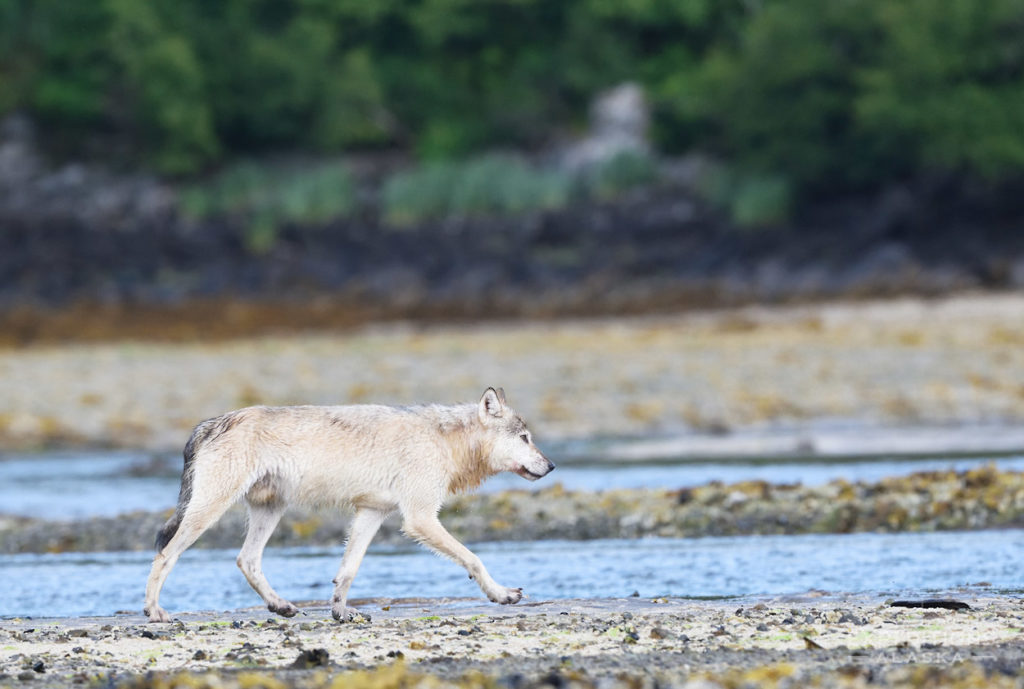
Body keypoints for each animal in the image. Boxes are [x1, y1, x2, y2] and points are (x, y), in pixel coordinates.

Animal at [144, 386, 552, 622]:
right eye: (525, 438)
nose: (551, 466)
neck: (446, 440)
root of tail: (211, 423)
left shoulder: (373, 512)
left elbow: (348, 570)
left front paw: (341, 611)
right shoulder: (419, 518)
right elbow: (474, 558)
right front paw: (501, 594)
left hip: (270, 511)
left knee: (246, 560)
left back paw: (281, 606)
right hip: (209, 512)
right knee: (165, 554)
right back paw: (154, 612)